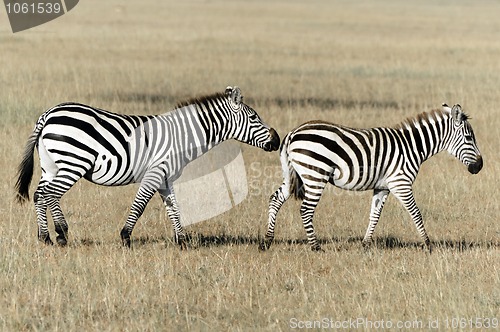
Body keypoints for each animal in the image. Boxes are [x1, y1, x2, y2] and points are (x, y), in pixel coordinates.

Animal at [15, 87, 282, 248]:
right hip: (73, 163)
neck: (182, 137)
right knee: (51, 194)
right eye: (255, 118)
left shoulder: (166, 178)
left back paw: (45, 237)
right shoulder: (155, 172)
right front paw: (125, 237)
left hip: (51, 166)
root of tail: (49, 113)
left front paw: (182, 241)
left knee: (39, 194)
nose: (277, 140)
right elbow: (140, 205)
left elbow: (174, 208)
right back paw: (61, 234)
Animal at [260, 104, 482, 252]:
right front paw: (428, 245)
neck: (412, 146)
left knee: (275, 199)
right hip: (315, 174)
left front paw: (365, 245)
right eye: (469, 138)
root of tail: (293, 132)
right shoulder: (401, 183)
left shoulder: (382, 187)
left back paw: (267, 241)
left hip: (293, 174)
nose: (479, 166)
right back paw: (315, 247)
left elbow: (374, 215)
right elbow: (416, 213)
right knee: (306, 209)